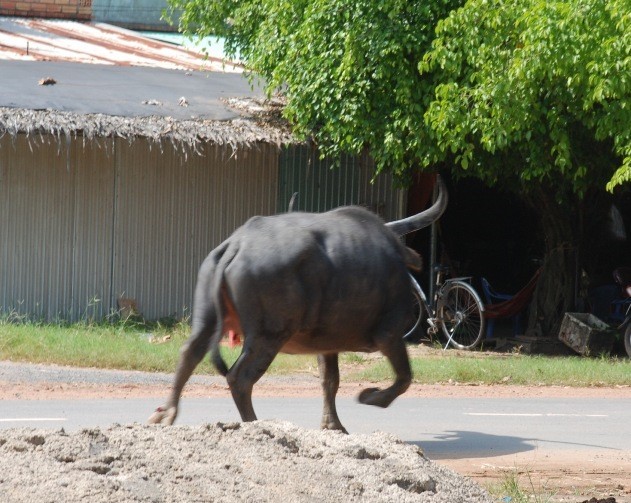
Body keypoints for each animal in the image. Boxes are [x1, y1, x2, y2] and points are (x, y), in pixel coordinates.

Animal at [149, 177, 446, 434]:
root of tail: (237, 244)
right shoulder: (390, 334)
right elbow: (404, 377)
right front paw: (369, 396)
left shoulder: (327, 344)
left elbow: (330, 380)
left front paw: (333, 426)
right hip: (269, 334)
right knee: (239, 377)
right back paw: (256, 424)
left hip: (208, 318)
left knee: (190, 353)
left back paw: (166, 414)